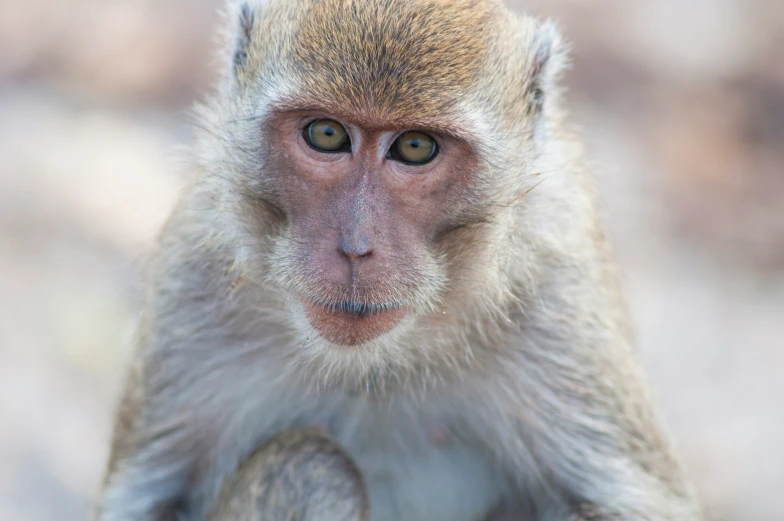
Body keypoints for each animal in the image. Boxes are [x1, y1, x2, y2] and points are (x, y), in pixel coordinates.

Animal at [95, 1, 700, 520]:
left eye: (414, 147)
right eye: (327, 134)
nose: (356, 248)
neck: (378, 363)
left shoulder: (558, 292)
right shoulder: (194, 274)